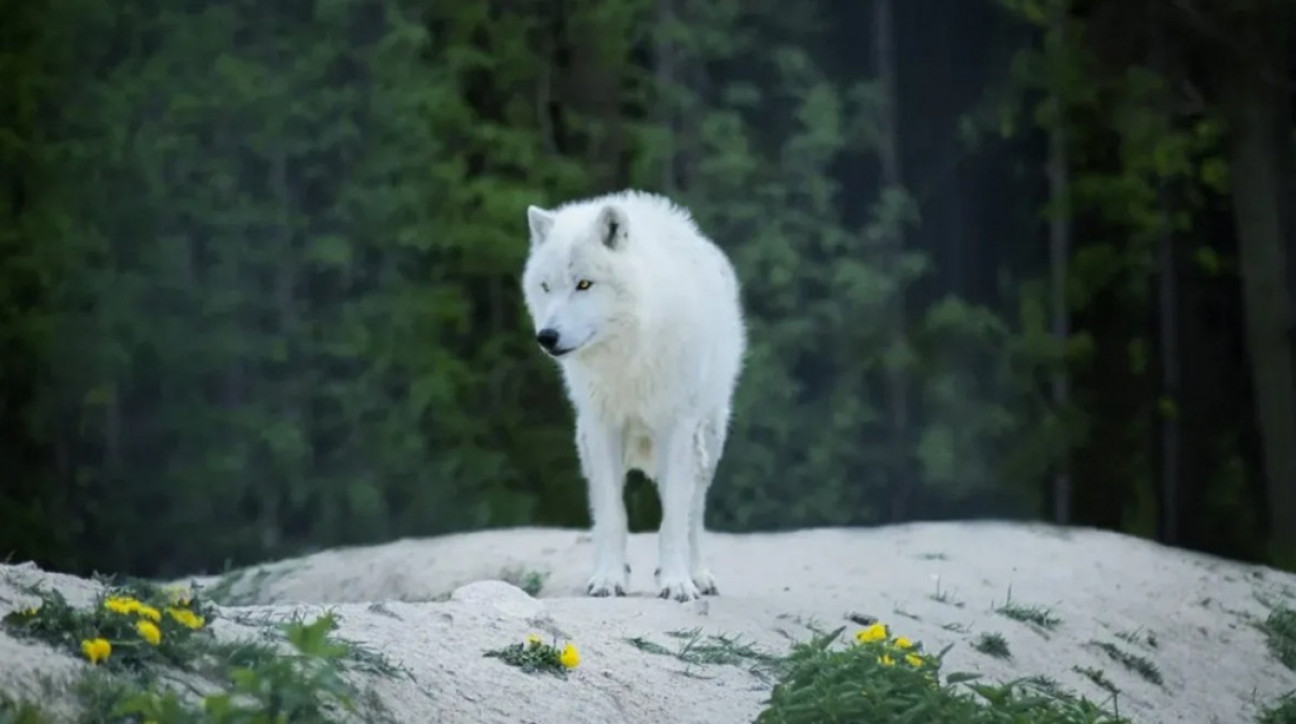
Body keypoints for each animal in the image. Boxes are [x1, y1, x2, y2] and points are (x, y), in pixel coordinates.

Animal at [520, 190, 746, 602]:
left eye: (584, 284)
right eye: (545, 287)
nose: (546, 337)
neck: (625, 356)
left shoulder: (676, 428)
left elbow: (674, 518)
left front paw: (677, 583)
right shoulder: (603, 427)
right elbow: (613, 515)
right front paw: (609, 579)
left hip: (707, 440)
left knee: (694, 513)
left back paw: (698, 575)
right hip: (586, 445)